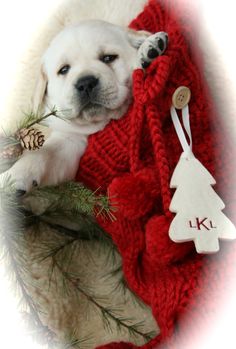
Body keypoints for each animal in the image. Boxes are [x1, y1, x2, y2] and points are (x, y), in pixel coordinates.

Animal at [6, 20, 167, 193]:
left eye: (108, 58)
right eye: (64, 69)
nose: (85, 83)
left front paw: (148, 48)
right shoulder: (68, 138)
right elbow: (43, 154)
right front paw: (12, 179)